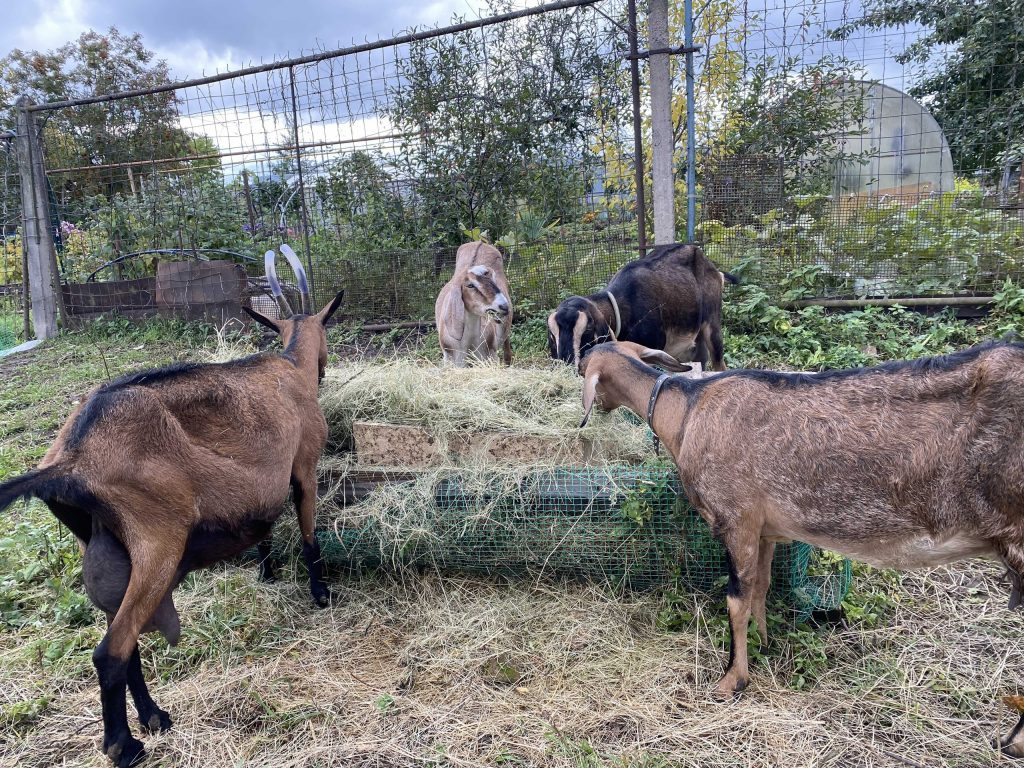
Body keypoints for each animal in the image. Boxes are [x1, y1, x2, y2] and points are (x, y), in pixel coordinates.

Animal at [0, 246, 344, 768]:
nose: (325, 368)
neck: (290, 367)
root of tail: (71, 461)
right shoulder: (303, 467)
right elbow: (309, 536)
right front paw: (321, 593)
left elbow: (264, 535)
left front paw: (267, 572)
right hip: (158, 541)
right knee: (111, 650)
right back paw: (124, 746)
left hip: (106, 546)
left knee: (126, 641)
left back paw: (154, 716)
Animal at [544, 240, 737, 372]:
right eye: (552, 336)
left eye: (588, 329)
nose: (568, 365)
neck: (622, 306)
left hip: (712, 325)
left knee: (719, 363)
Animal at [577, 342, 1024, 757]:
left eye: (582, 367)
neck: (686, 413)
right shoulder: (765, 531)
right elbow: (760, 588)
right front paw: (764, 643)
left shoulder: (736, 519)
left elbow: (736, 600)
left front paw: (732, 680)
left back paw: (1011, 742)